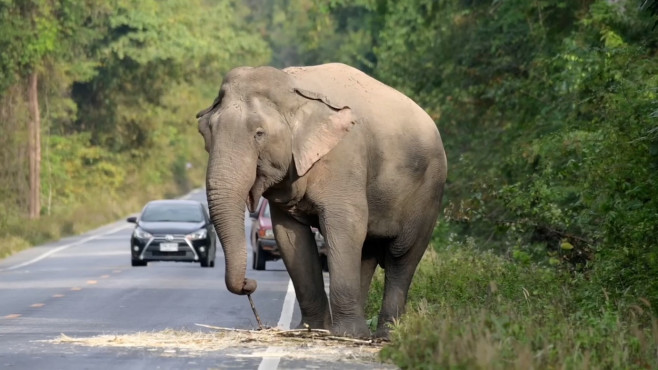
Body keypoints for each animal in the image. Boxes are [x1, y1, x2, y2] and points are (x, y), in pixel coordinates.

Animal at [195, 63, 448, 338]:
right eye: (205, 132)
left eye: (259, 134)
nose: (248, 284)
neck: (293, 85)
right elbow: (289, 235)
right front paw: (311, 330)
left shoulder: (344, 157)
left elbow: (344, 225)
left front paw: (345, 334)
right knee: (367, 252)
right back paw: (365, 333)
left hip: (428, 191)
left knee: (401, 255)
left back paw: (383, 335)